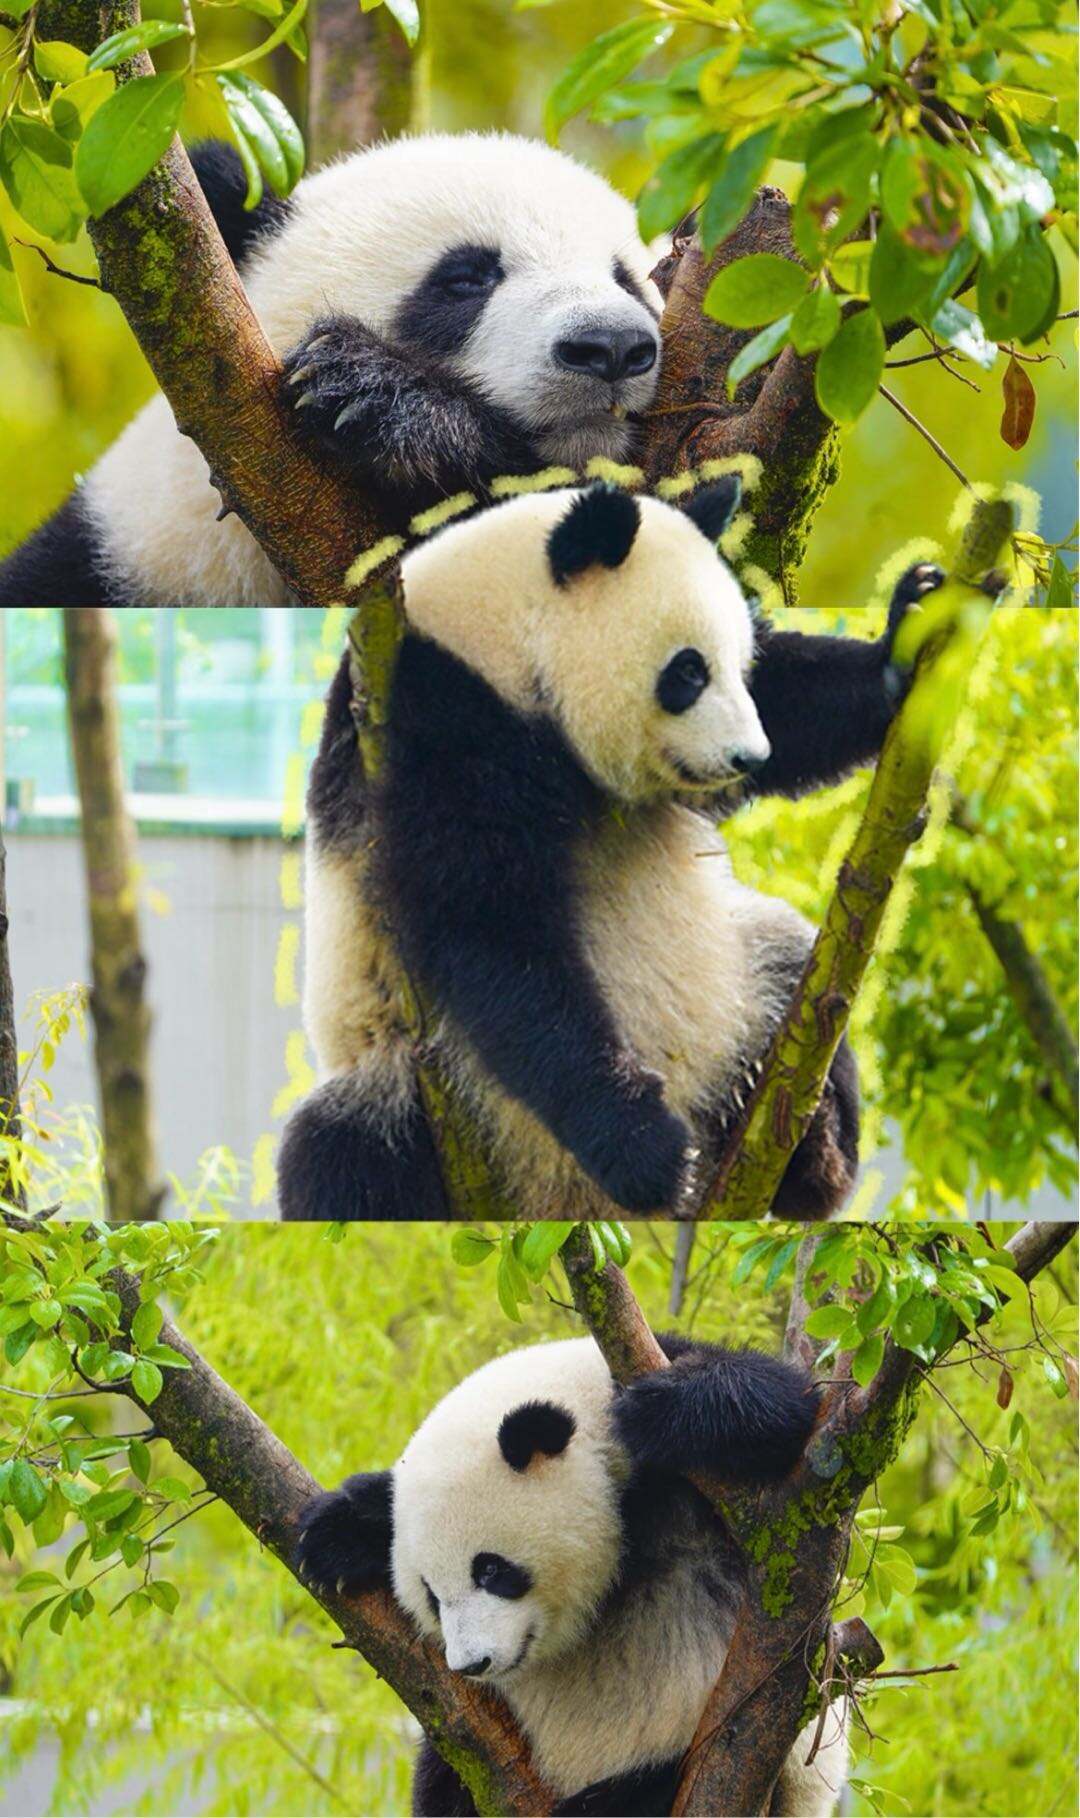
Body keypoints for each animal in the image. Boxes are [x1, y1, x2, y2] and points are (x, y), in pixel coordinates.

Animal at [0, 133, 664, 607]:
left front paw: (379, 399)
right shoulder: (123, 555)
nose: (608, 346)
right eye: (466, 278)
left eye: (628, 280)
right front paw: (374, 397)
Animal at [278, 477, 944, 1222]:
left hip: (750, 981)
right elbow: (489, 930)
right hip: (398, 1080)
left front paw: (908, 633)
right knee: (339, 1158)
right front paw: (643, 1148)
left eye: (737, 667)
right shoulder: (432, 720)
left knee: (801, 974)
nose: (749, 756)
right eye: (688, 672)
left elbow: (793, 699)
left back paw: (813, 1155)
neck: (498, 636)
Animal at [296, 1331, 848, 1817]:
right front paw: (336, 1533)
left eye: (490, 1570)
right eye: (431, 1595)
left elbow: (793, 1420)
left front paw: (667, 1408)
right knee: (442, 1782)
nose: (473, 1664)